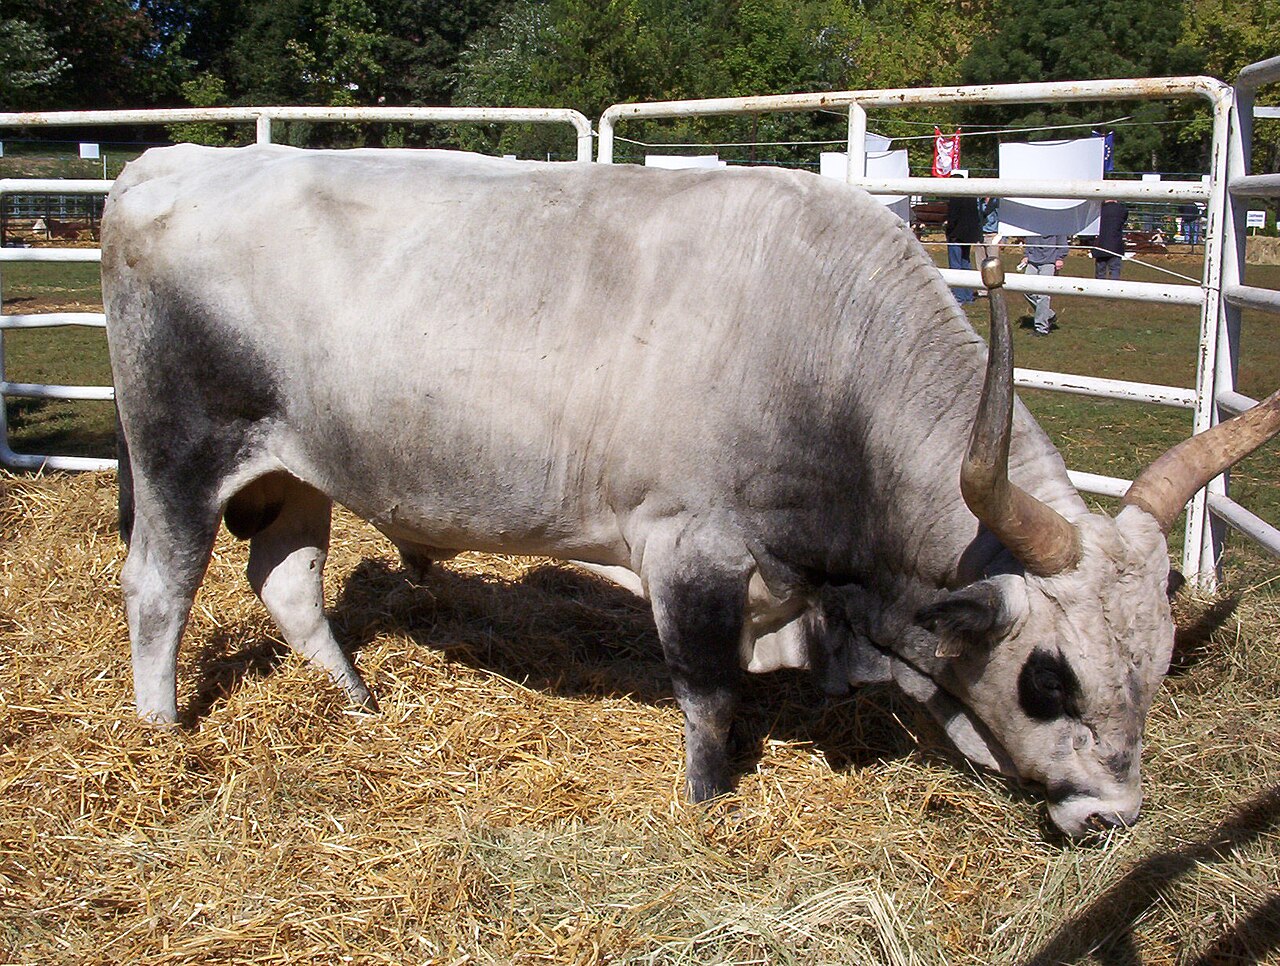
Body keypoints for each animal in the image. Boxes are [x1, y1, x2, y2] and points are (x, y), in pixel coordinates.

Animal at [101, 144, 1280, 838]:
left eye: (1158, 668)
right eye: (1048, 679)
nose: (1115, 821)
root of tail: (169, 159)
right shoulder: (690, 554)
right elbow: (710, 700)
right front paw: (711, 807)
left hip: (294, 470)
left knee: (288, 581)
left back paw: (356, 700)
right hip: (180, 454)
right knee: (159, 587)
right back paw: (161, 736)